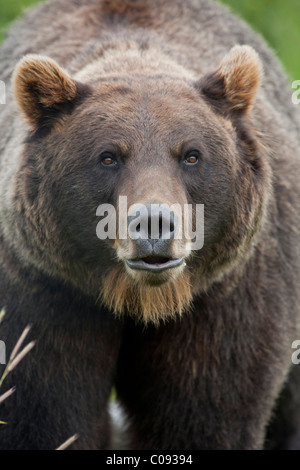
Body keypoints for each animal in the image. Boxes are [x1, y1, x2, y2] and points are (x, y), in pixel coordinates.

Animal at [0, 0, 300, 450]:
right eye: (108, 156)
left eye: (191, 155)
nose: (155, 223)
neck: (140, 300)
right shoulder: (46, 291)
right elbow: (43, 408)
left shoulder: (226, 298)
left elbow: (205, 412)